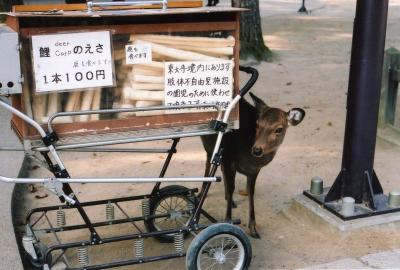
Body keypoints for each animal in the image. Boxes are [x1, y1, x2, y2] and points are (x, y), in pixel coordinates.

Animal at [202, 92, 304, 238]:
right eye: (258, 124)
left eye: (279, 129)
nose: (256, 150)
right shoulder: (228, 158)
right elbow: (232, 187)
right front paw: (227, 221)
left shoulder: (254, 170)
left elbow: (250, 192)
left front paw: (253, 229)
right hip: (210, 146)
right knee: (207, 163)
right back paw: (202, 193)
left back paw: (230, 201)